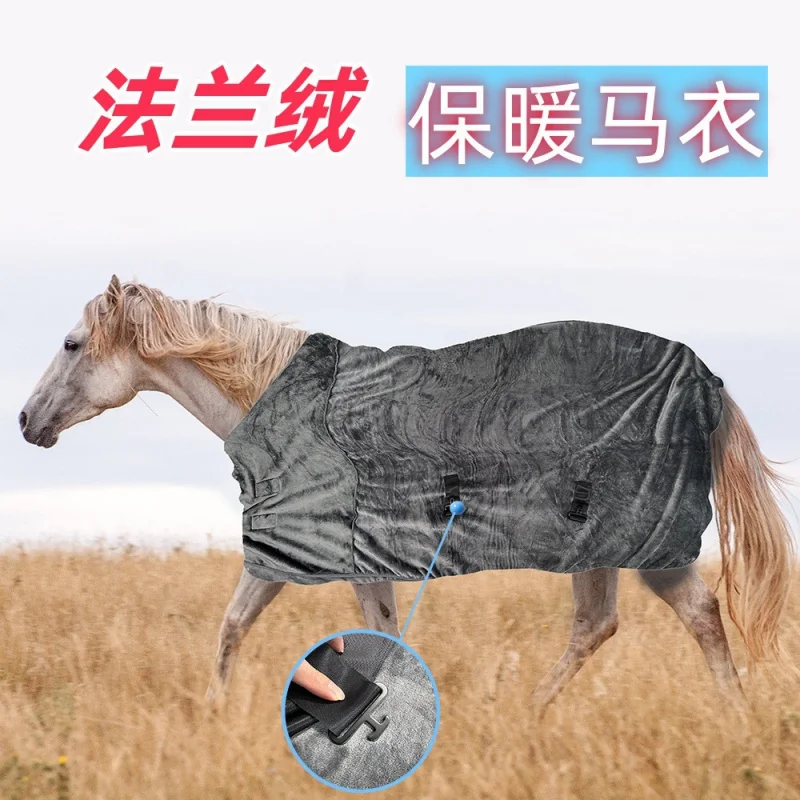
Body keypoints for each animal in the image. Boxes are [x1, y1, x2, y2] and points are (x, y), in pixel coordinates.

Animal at [18, 276, 794, 709]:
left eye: (72, 344)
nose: (27, 421)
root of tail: (703, 379)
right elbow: (249, 626)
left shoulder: (314, 553)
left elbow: (268, 629)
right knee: (620, 621)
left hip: (633, 540)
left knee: (675, 616)